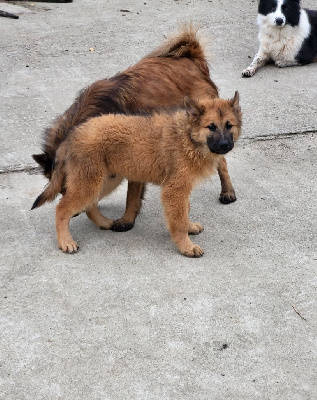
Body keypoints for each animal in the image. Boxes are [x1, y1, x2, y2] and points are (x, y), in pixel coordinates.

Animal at [31, 92, 239, 258]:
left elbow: (184, 211)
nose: (224, 145)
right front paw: (186, 246)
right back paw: (65, 242)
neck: (187, 137)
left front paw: (189, 227)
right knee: (62, 209)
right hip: (90, 182)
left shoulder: (181, 188)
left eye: (229, 126)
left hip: (105, 180)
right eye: (211, 127)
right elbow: (178, 219)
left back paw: (104, 223)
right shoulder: (174, 190)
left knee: (90, 205)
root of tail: (71, 136)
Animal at [32, 25, 237, 231]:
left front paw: (127, 219)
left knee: (222, 161)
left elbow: (132, 194)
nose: (75, 213)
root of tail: (192, 57)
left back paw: (228, 191)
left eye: (66, 186)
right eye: (61, 188)